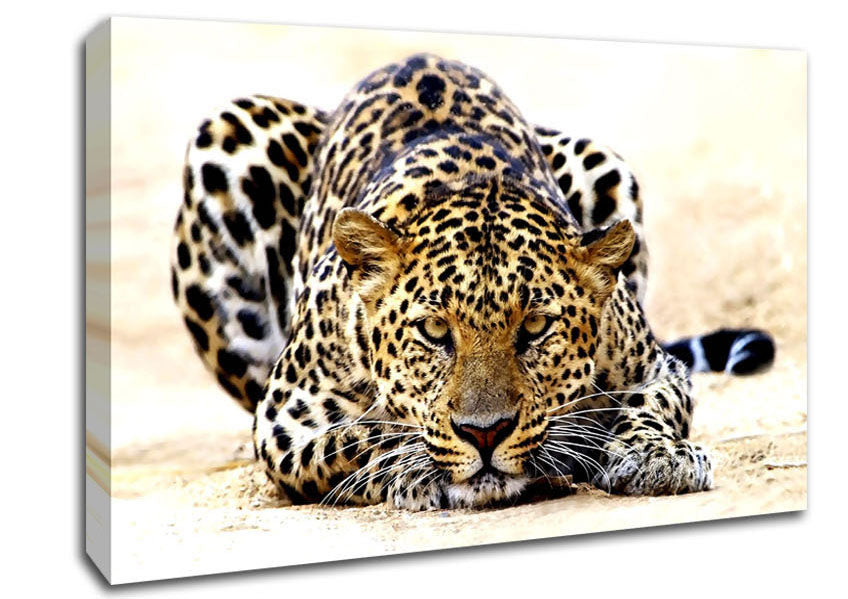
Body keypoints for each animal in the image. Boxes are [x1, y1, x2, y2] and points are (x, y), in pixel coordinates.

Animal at [171, 54, 775, 510]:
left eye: (535, 327)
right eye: (435, 332)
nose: (485, 433)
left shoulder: (654, 367)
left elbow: (651, 406)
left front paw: (658, 456)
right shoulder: (285, 418)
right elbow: (361, 436)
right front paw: (415, 467)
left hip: (600, 159)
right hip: (230, 133)